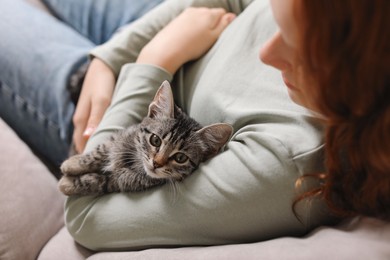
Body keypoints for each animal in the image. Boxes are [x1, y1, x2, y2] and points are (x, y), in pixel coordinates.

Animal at [58, 80, 232, 195]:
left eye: (180, 158)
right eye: (155, 140)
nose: (156, 163)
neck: (136, 162)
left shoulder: (122, 182)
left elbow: (99, 181)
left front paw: (67, 183)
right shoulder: (120, 136)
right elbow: (98, 152)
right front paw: (72, 164)